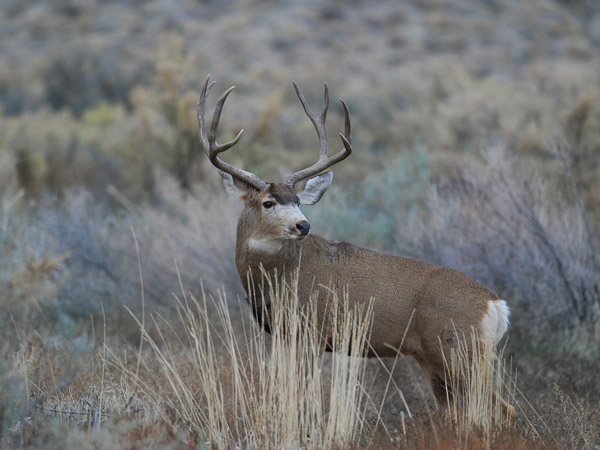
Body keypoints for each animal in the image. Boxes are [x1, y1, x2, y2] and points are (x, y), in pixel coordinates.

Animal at [197, 74, 516, 418]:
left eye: (297, 200)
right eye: (268, 202)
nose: (303, 225)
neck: (280, 275)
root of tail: (496, 305)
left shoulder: (313, 330)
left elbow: (301, 396)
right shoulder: (285, 336)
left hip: (458, 350)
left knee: (503, 409)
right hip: (433, 360)